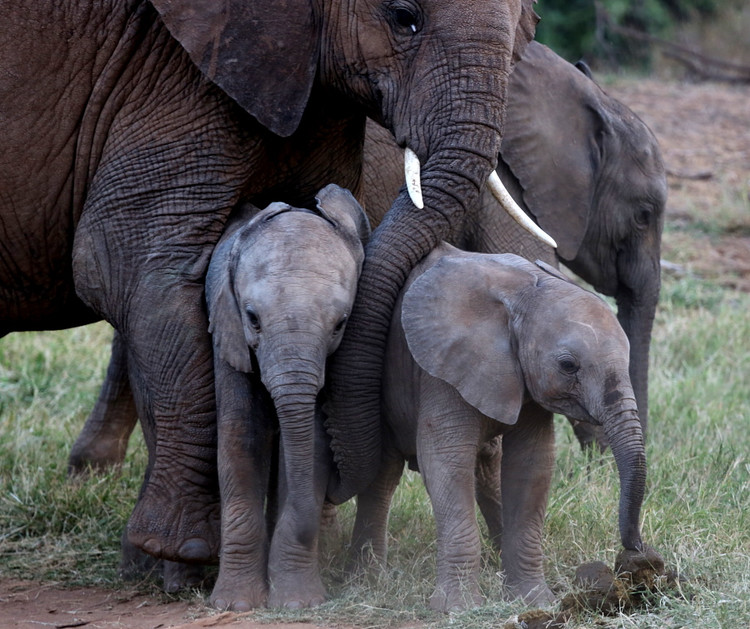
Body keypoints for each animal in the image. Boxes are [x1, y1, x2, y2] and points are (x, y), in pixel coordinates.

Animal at [206, 184, 370, 612]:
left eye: (340, 323)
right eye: (252, 318)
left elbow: (309, 446)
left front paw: (297, 603)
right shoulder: (227, 331)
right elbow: (240, 441)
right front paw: (234, 605)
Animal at [352, 243, 656, 612]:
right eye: (568, 366)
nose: (636, 549)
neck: (523, 291)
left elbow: (531, 465)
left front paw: (533, 600)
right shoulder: (439, 367)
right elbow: (446, 461)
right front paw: (457, 608)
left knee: (486, 466)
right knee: (384, 476)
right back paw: (368, 580)